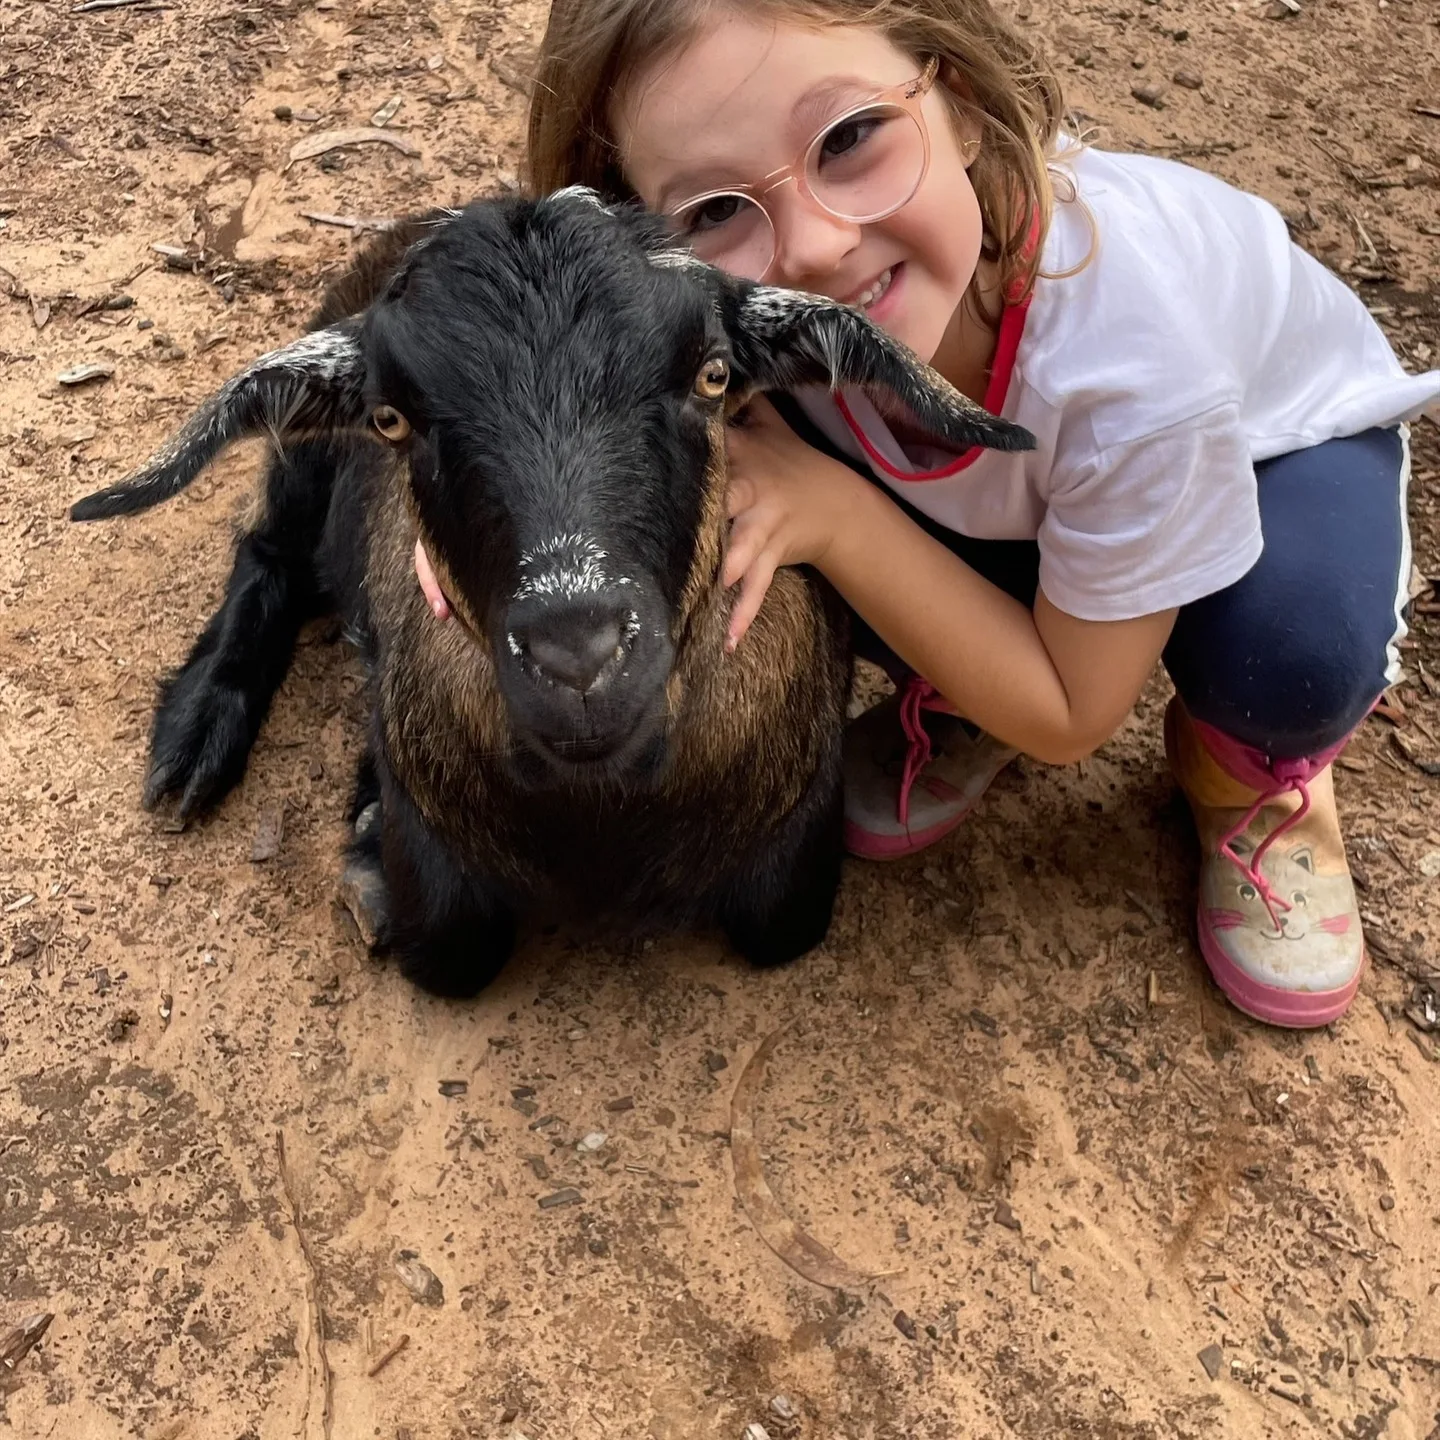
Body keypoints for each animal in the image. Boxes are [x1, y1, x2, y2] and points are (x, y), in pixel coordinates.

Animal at [70, 189, 1033, 997]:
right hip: (301, 463)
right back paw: (196, 736)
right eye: (391, 418)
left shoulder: (795, 858)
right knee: (266, 549)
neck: (603, 809)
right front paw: (371, 836)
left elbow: (780, 925)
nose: (578, 657)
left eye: (713, 375)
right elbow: (451, 949)